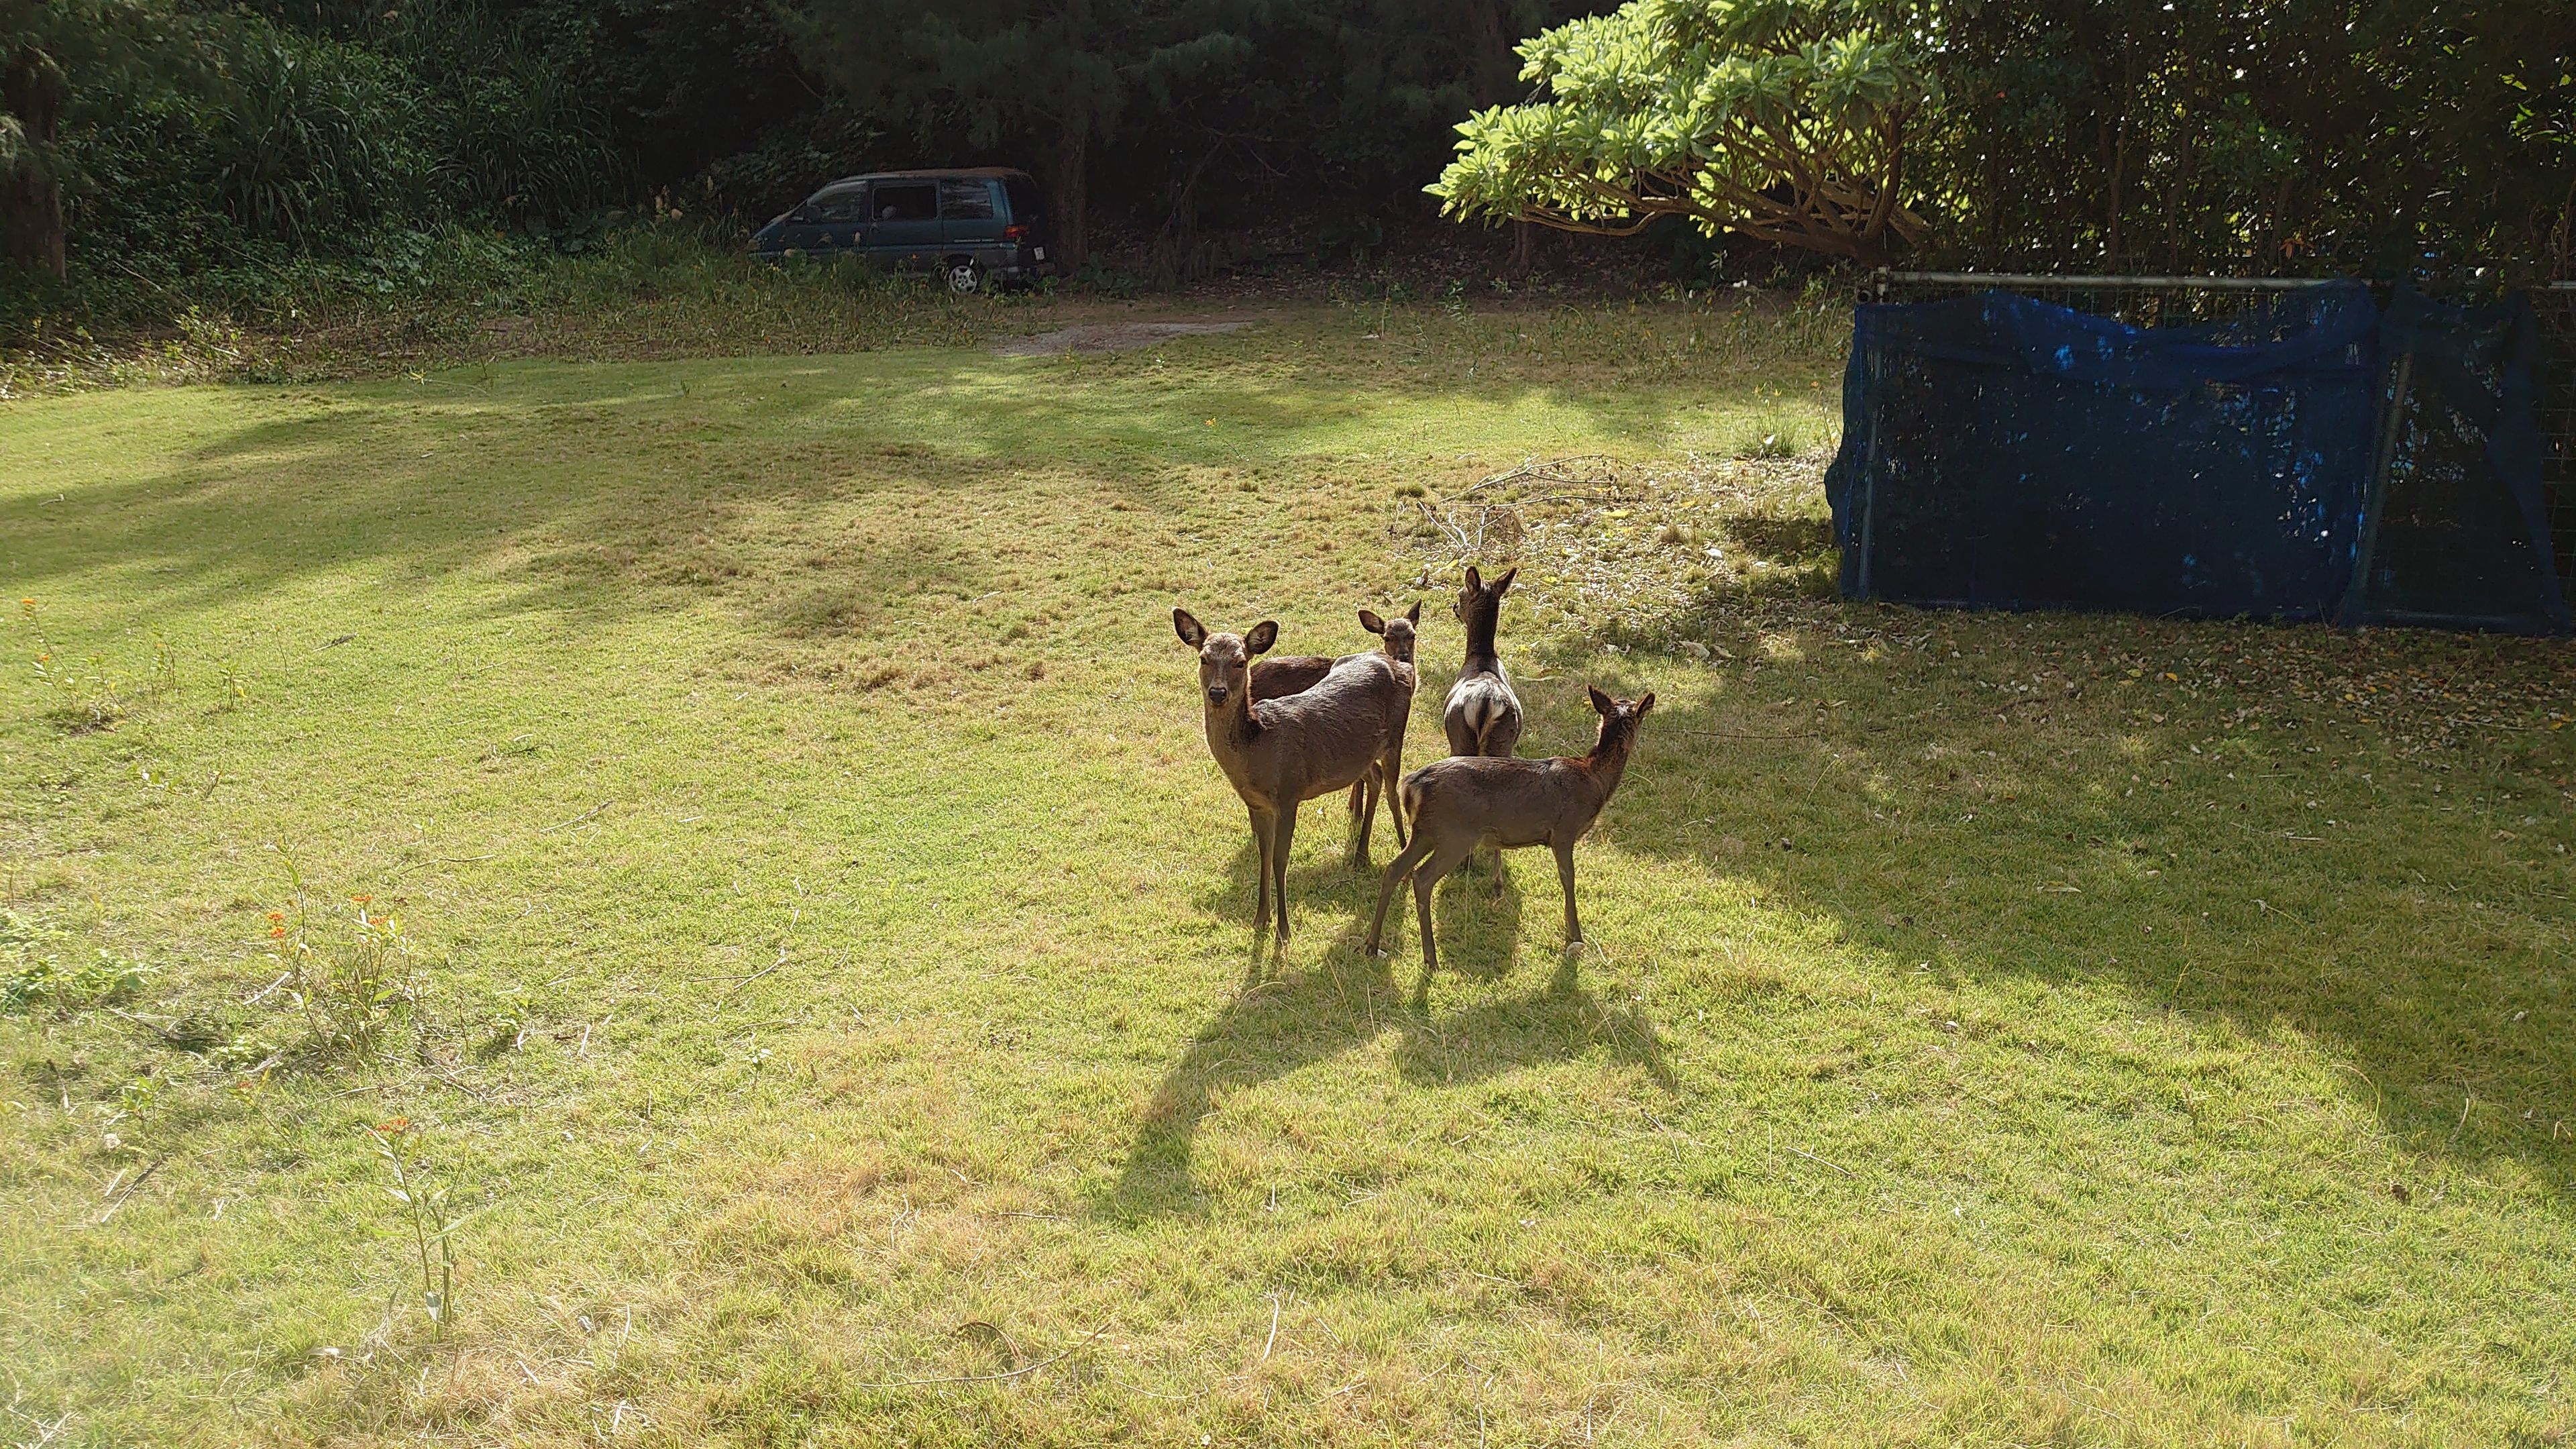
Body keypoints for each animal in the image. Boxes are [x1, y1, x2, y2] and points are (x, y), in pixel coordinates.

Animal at [1364, 687, 1655, 977]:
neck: (1595, 779)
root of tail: (1411, 786)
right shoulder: (1564, 831)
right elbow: (1568, 879)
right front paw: (1575, 935)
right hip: (1455, 835)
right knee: (1422, 878)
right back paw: (1430, 959)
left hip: (1425, 833)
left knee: (1395, 869)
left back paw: (1372, 945)